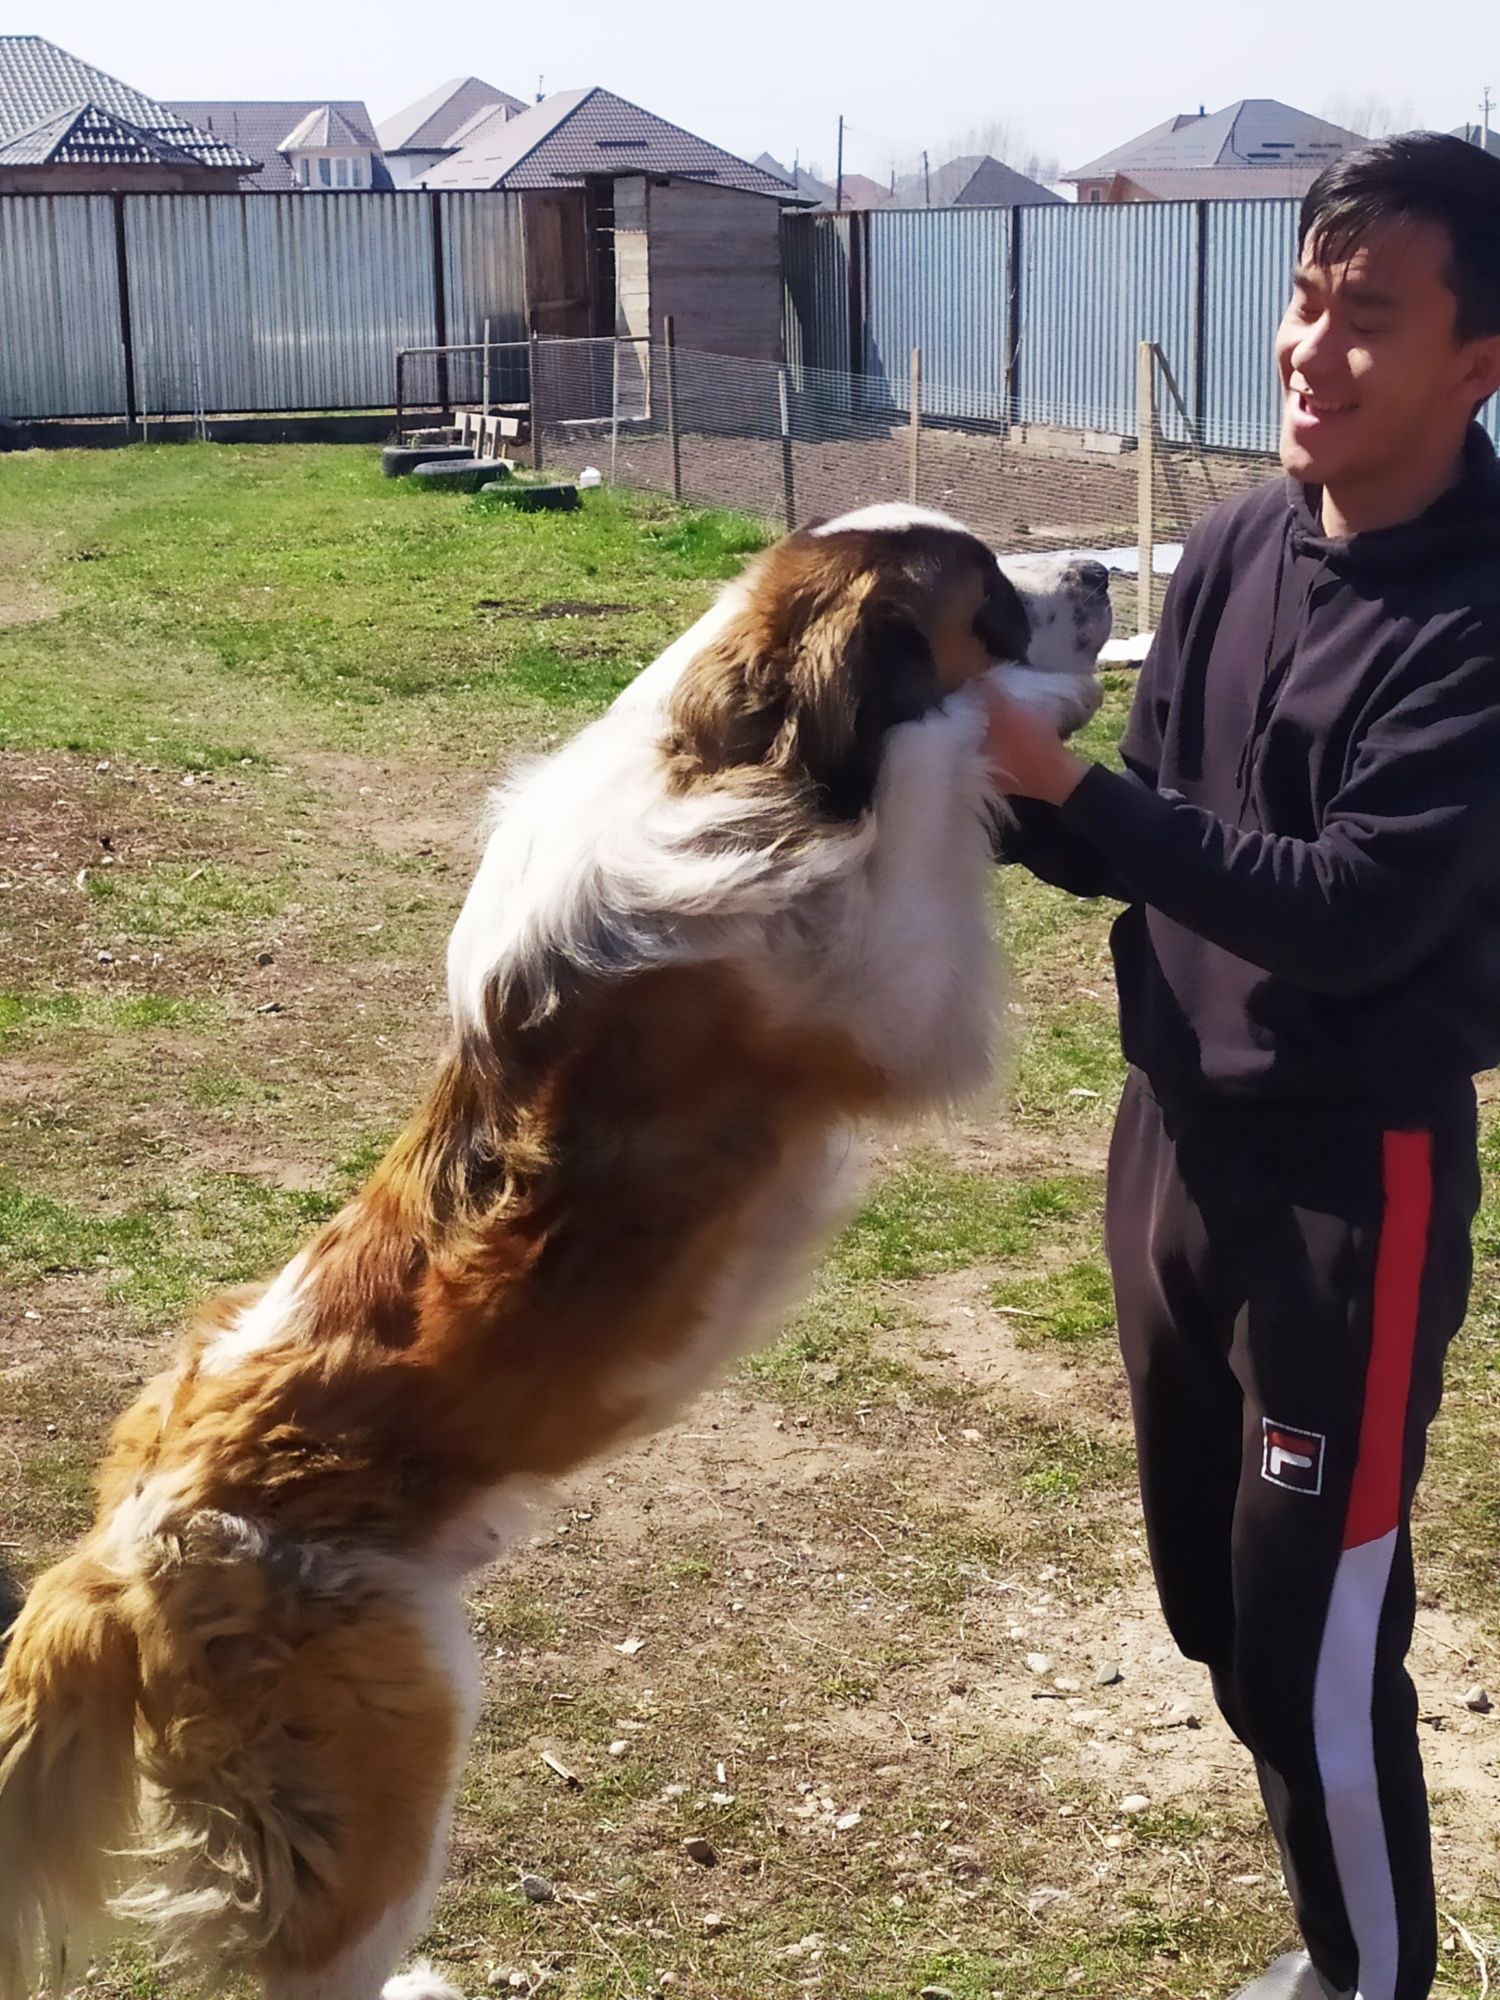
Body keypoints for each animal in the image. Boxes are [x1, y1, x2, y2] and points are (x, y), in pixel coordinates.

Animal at [0, 512, 1104, 2000]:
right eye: (986, 592)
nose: (1099, 575)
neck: (738, 754)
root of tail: (111, 1550)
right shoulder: (890, 1001)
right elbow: (940, 747)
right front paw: (1019, 710)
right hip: (388, 1744)